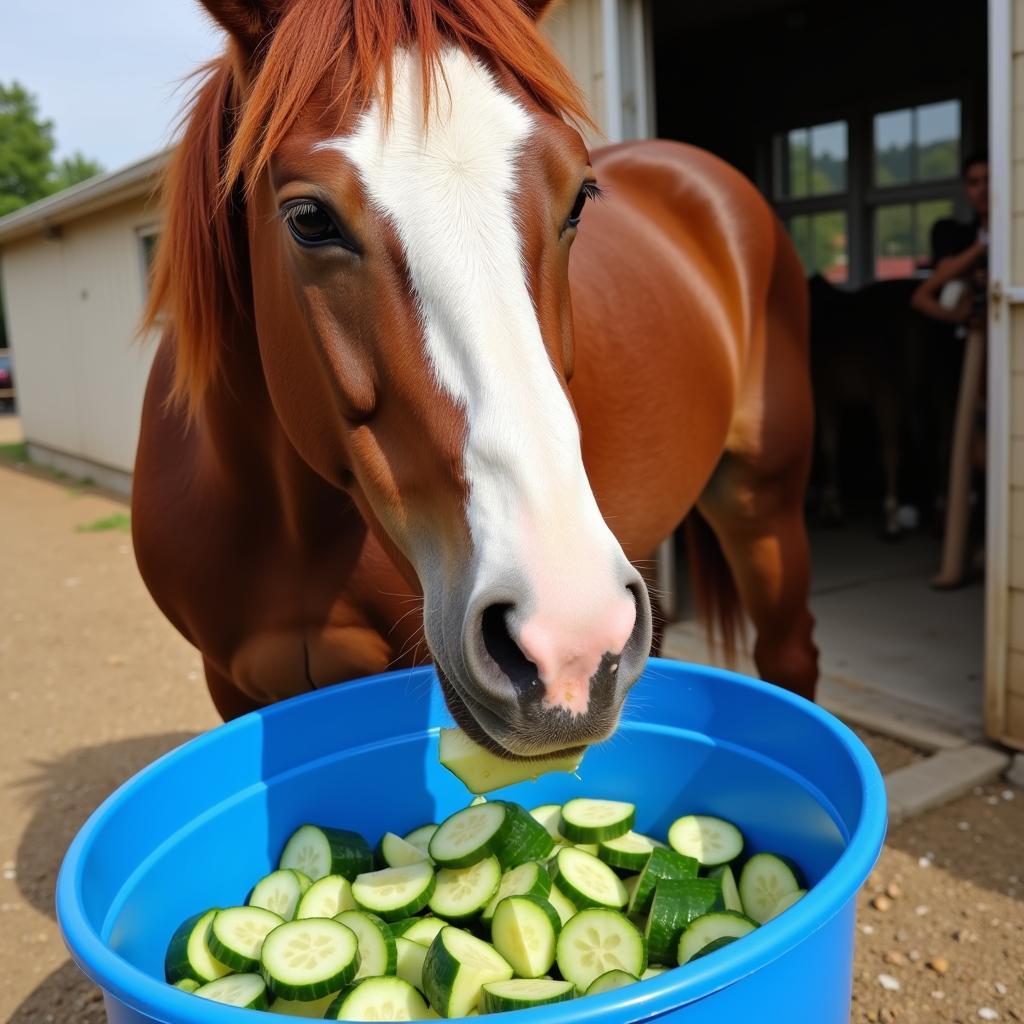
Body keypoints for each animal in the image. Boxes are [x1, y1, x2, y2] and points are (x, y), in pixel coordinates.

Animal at [134, 0, 815, 757]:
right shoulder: (230, 684)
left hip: (762, 505)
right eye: (309, 218)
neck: (288, 527)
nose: (569, 636)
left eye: (580, 198)